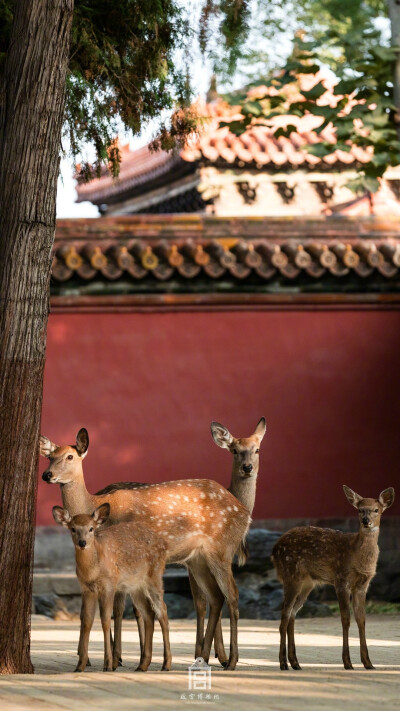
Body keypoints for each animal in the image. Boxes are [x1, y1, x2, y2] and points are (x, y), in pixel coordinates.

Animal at [52, 500, 170, 672]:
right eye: (73, 529)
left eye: (91, 528)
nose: (82, 543)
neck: (92, 571)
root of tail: (164, 543)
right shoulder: (87, 589)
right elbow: (87, 621)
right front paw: (80, 665)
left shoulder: (109, 584)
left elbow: (106, 619)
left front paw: (108, 664)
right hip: (136, 586)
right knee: (149, 613)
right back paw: (142, 664)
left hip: (155, 576)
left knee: (162, 610)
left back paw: (166, 664)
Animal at [272, 484, 394, 672]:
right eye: (359, 510)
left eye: (376, 510)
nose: (366, 520)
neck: (357, 556)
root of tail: (274, 549)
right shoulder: (341, 579)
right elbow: (345, 619)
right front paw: (347, 662)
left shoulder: (362, 585)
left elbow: (362, 620)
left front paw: (368, 663)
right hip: (290, 574)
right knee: (284, 614)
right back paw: (283, 663)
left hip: (307, 583)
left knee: (292, 613)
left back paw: (295, 663)